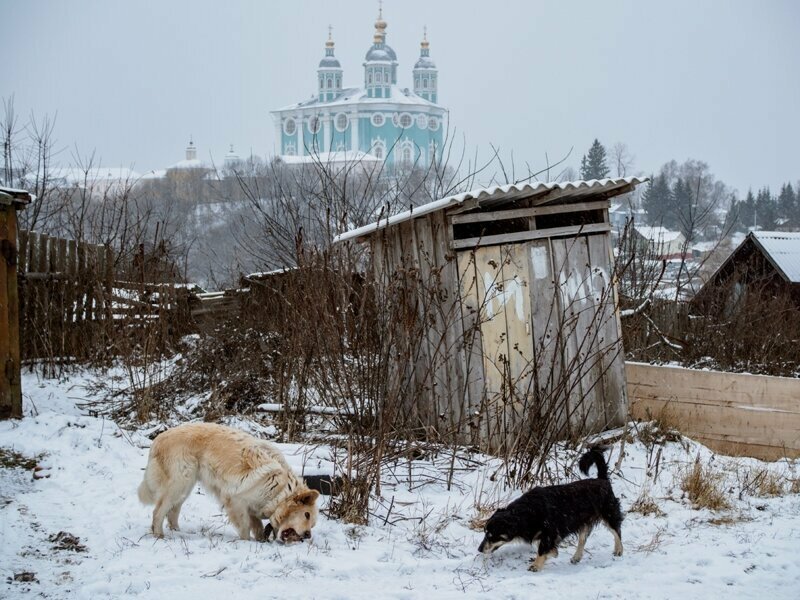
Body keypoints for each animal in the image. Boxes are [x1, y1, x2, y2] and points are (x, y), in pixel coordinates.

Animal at [478, 446, 620, 572]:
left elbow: (542, 549)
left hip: (609, 513)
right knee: (582, 539)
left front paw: (536, 565)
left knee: (616, 531)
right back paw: (576, 557)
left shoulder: (550, 531)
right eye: (485, 532)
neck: (527, 512)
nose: (479, 549)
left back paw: (619, 550)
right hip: (584, 522)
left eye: (491, 535)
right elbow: (545, 547)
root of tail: (602, 480)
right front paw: (553, 553)